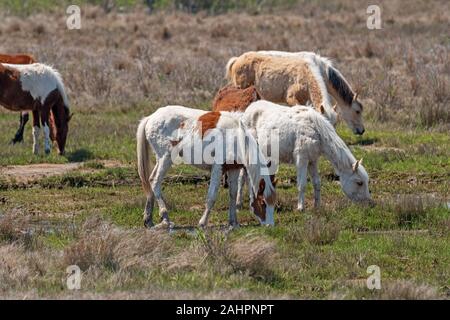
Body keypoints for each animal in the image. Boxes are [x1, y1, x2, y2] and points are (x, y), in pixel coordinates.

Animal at [135, 106, 276, 229]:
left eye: (273, 203)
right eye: (263, 203)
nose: (270, 225)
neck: (237, 138)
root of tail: (151, 117)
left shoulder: (234, 169)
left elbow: (232, 194)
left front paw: (233, 222)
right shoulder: (217, 168)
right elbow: (211, 197)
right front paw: (203, 222)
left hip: (161, 159)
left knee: (150, 180)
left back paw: (148, 219)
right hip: (166, 158)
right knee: (155, 181)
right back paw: (165, 218)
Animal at [239, 100, 372, 210]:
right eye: (359, 182)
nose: (369, 203)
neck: (316, 130)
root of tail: (247, 111)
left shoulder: (313, 160)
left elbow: (317, 183)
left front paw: (317, 206)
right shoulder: (302, 159)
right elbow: (302, 184)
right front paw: (300, 207)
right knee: (243, 177)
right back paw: (241, 203)